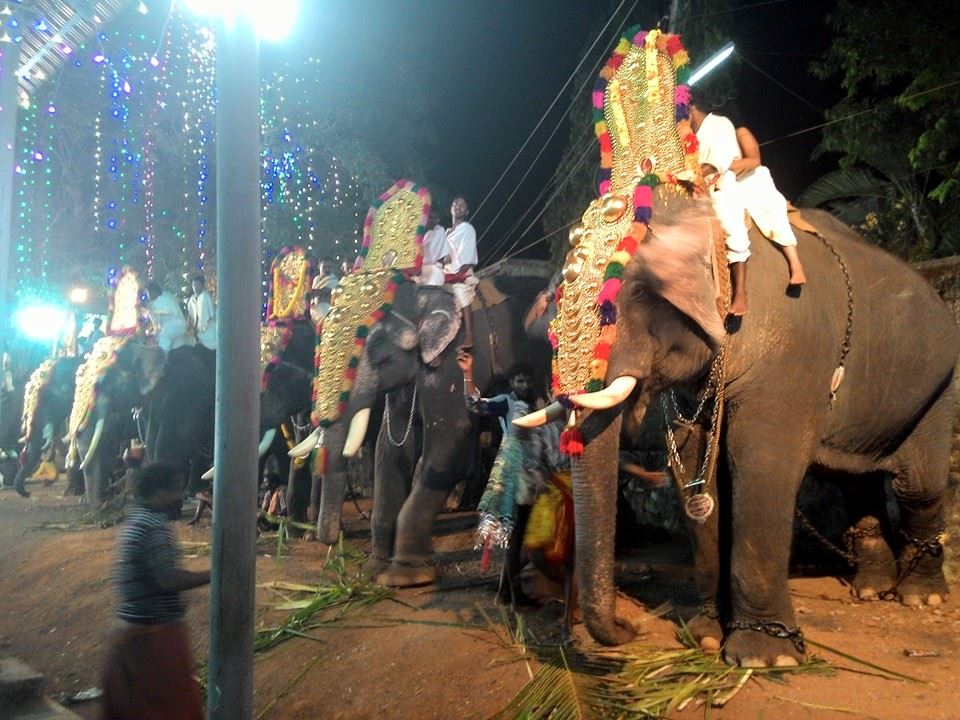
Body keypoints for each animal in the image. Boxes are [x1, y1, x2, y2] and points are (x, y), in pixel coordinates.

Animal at [520, 28, 956, 668]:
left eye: (638, 290)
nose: (628, 627)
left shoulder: (788, 358)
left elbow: (762, 467)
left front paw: (762, 657)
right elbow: (697, 467)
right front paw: (703, 634)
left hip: (940, 380)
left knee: (915, 482)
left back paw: (919, 597)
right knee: (853, 477)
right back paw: (871, 588)